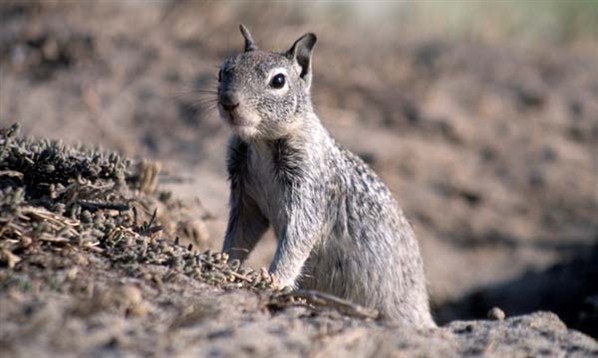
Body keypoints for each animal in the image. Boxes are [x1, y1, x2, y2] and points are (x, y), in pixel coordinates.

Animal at [218, 24, 434, 328]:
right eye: (223, 70)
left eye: (278, 80)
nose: (228, 102)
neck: (262, 142)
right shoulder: (246, 201)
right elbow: (238, 237)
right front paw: (224, 264)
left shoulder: (308, 191)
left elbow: (297, 242)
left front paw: (273, 281)